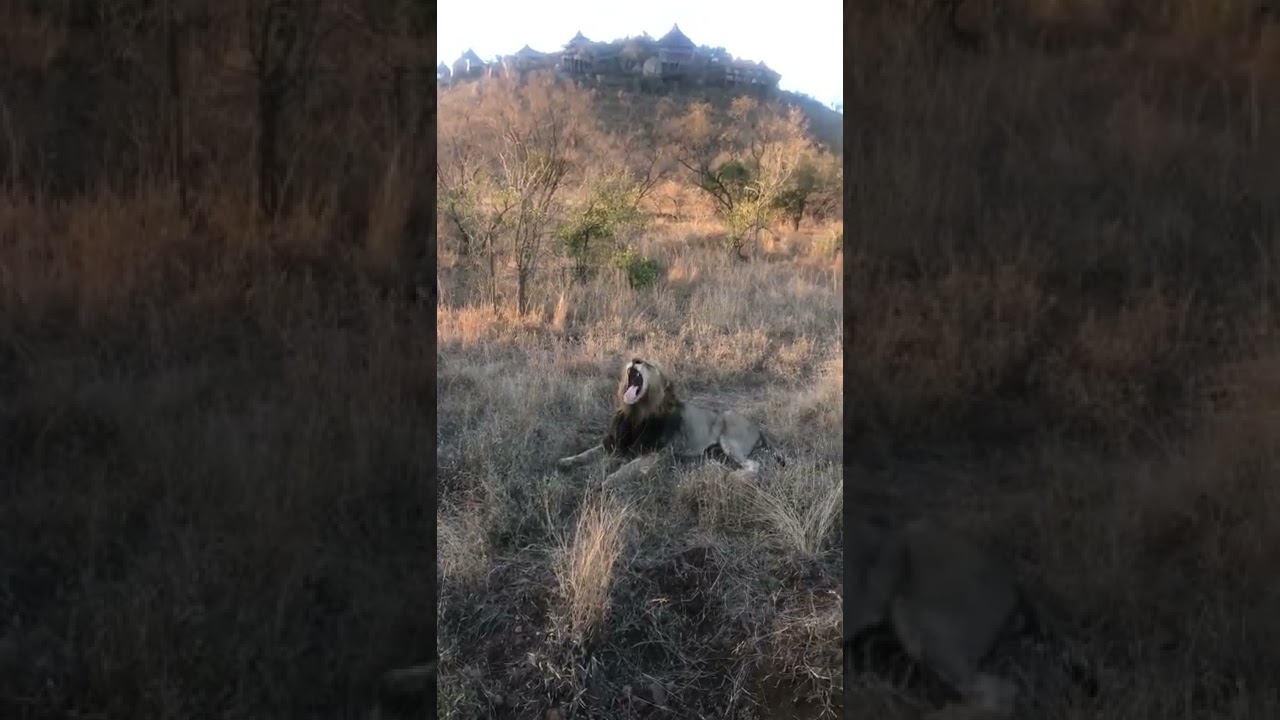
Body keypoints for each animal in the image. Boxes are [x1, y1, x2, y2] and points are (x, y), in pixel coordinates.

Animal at [555, 358, 785, 488]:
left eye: (648, 364)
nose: (635, 359)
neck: (635, 415)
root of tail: (758, 428)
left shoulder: (654, 454)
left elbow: (627, 468)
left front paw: (607, 481)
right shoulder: (613, 443)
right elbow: (586, 453)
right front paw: (565, 462)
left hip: (731, 441)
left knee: (754, 465)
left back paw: (735, 477)